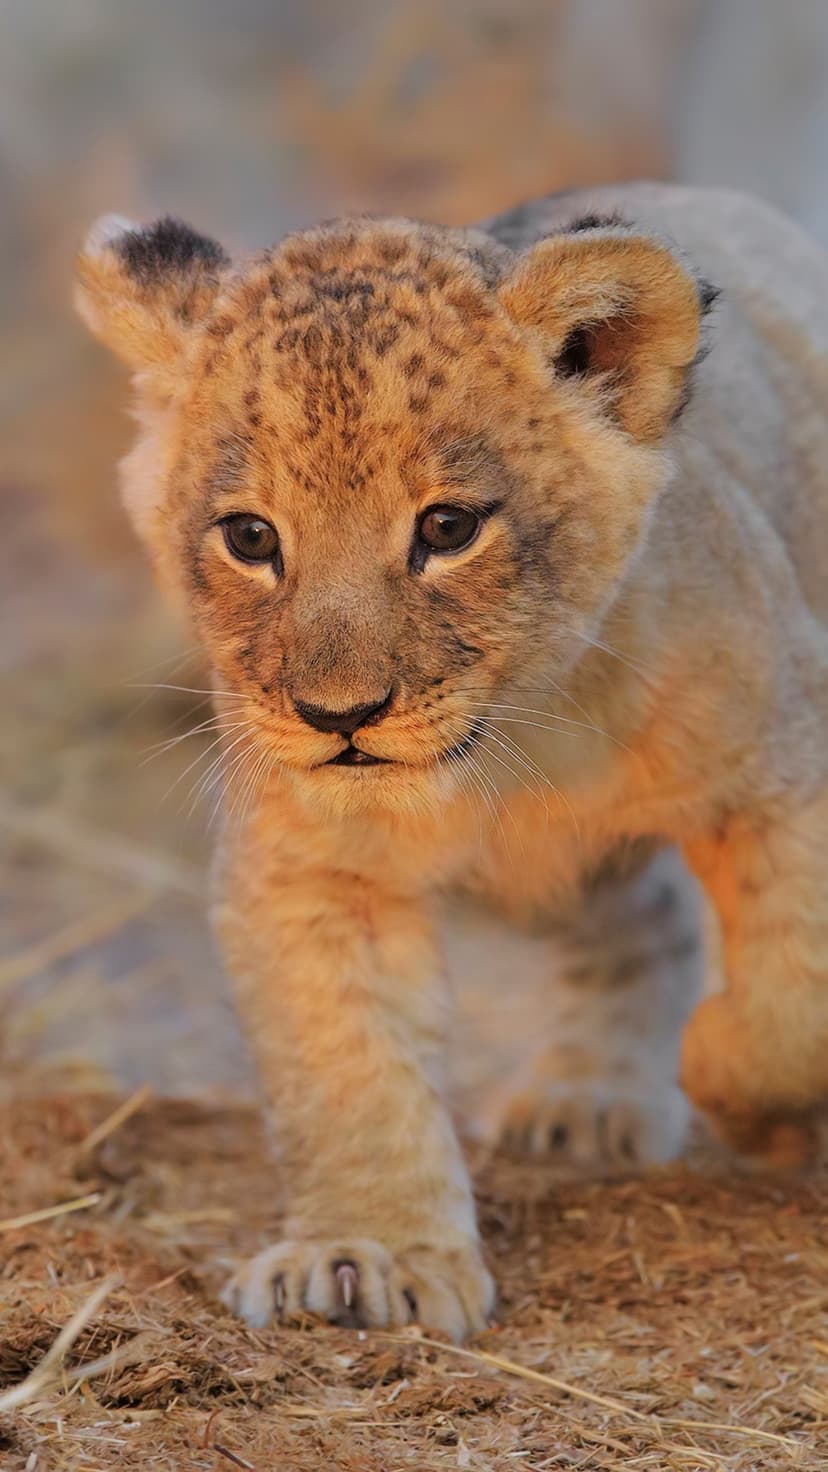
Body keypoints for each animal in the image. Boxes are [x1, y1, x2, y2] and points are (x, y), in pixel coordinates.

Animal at [75, 183, 828, 1341]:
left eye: (448, 526)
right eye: (250, 537)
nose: (338, 716)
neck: (510, 755)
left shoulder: (785, 764)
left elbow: (795, 995)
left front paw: (738, 1088)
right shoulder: (310, 869)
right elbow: (347, 1064)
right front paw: (369, 1252)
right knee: (641, 916)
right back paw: (588, 1098)